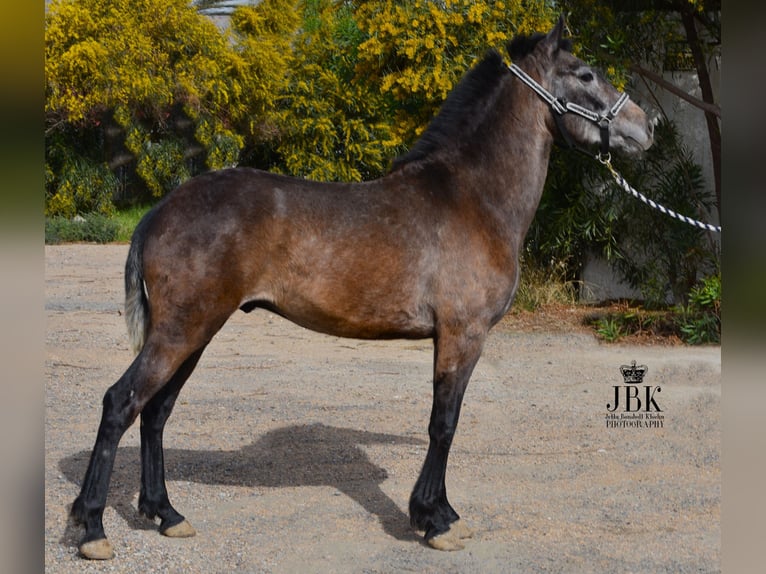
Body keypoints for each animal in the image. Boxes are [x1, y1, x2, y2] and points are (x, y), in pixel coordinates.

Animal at [69, 15, 656, 560]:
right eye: (586, 74)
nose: (645, 126)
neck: (471, 197)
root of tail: (158, 212)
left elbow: (444, 423)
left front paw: (441, 513)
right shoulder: (462, 335)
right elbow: (444, 423)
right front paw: (434, 520)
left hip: (195, 331)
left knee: (155, 413)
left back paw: (166, 514)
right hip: (182, 330)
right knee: (121, 403)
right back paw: (93, 528)